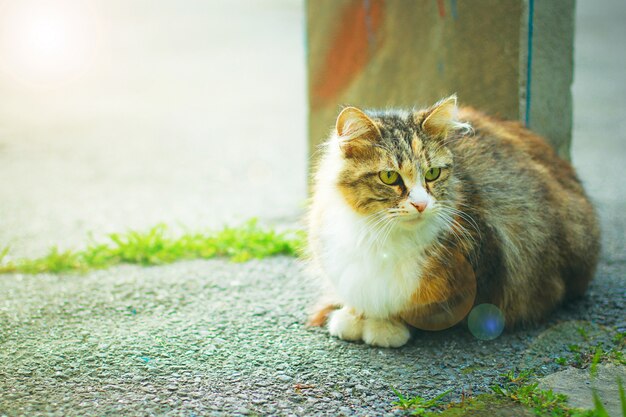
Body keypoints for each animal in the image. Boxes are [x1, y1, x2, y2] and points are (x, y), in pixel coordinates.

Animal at [304, 95, 596, 348]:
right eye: (389, 177)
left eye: (432, 173)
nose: (421, 204)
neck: (377, 235)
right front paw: (353, 315)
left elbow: (410, 306)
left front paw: (383, 326)